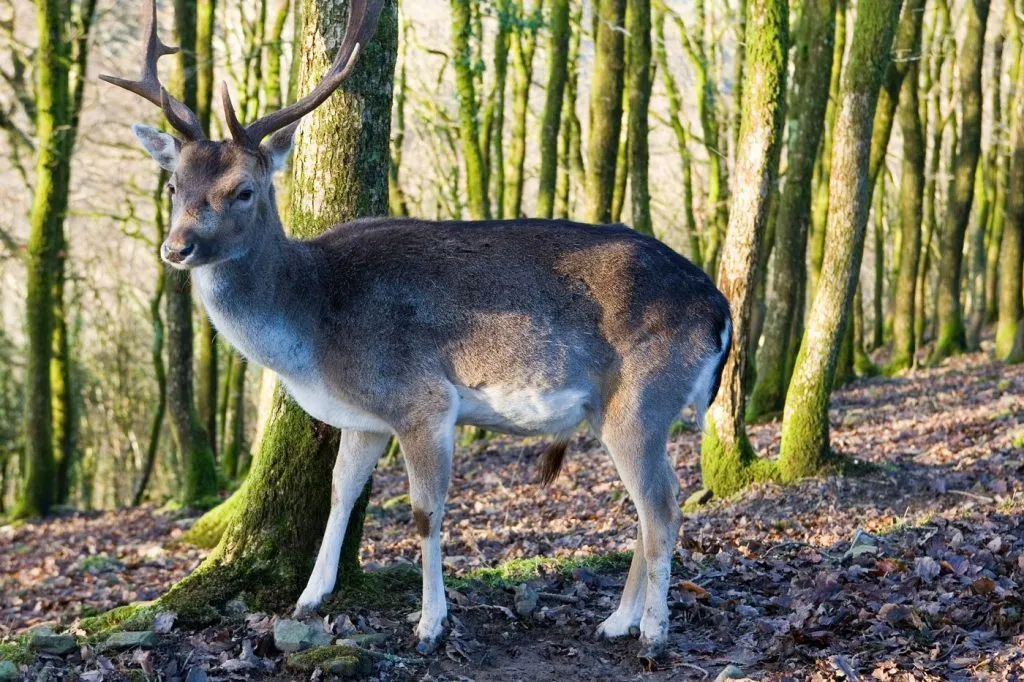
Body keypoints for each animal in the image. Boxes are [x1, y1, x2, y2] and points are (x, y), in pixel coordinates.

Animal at [102, 0, 732, 661]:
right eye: (175, 186)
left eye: (243, 190)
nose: (176, 248)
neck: (313, 334)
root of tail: (720, 308)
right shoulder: (365, 418)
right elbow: (340, 492)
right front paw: (309, 598)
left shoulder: (421, 401)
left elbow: (426, 513)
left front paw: (431, 624)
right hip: (618, 412)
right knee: (649, 504)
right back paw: (617, 621)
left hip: (642, 399)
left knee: (663, 507)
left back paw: (653, 632)